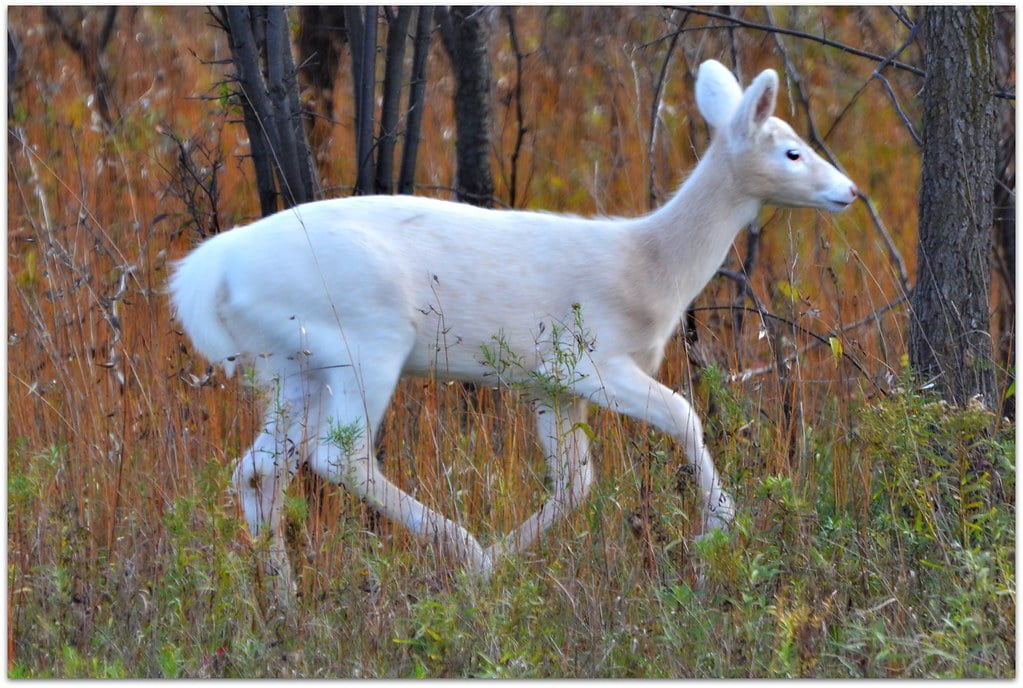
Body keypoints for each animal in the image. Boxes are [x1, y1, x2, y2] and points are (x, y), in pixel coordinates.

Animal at [167, 60, 855, 584]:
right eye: (792, 151)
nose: (849, 191)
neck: (650, 268)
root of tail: (208, 273)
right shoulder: (585, 359)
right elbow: (684, 414)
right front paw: (719, 526)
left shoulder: (546, 385)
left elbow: (577, 484)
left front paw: (501, 564)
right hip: (364, 340)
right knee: (339, 457)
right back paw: (460, 546)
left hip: (289, 363)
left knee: (259, 470)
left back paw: (283, 597)